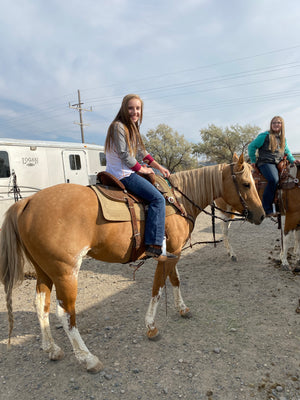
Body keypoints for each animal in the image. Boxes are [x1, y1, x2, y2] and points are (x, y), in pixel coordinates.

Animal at [0, 153, 262, 372]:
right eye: (246, 184)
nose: (261, 214)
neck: (177, 199)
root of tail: (26, 202)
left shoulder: (173, 252)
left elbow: (175, 280)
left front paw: (182, 309)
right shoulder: (166, 255)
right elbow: (158, 288)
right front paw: (151, 327)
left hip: (44, 271)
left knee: (40, 305)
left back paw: (52, 349)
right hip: (65, 273)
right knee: (65, 313)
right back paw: (87, 358)